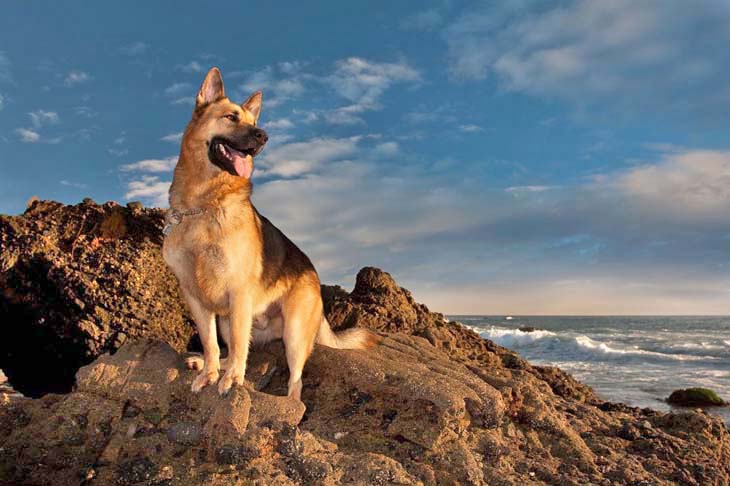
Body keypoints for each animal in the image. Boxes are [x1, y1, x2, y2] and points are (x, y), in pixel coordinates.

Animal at [163, 66, 378, 400]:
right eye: (231, 117)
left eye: (254, 124)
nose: (263, 136)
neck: (204, 204)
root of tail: (314, 275)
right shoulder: (197, 300)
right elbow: (211, 344)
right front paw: (210, 373)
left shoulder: (238, 293)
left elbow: (240, 346)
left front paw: (231, 380)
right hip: (227, 319)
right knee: (233, 349)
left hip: (293, 333)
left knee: (295, 379)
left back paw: (290, 404)